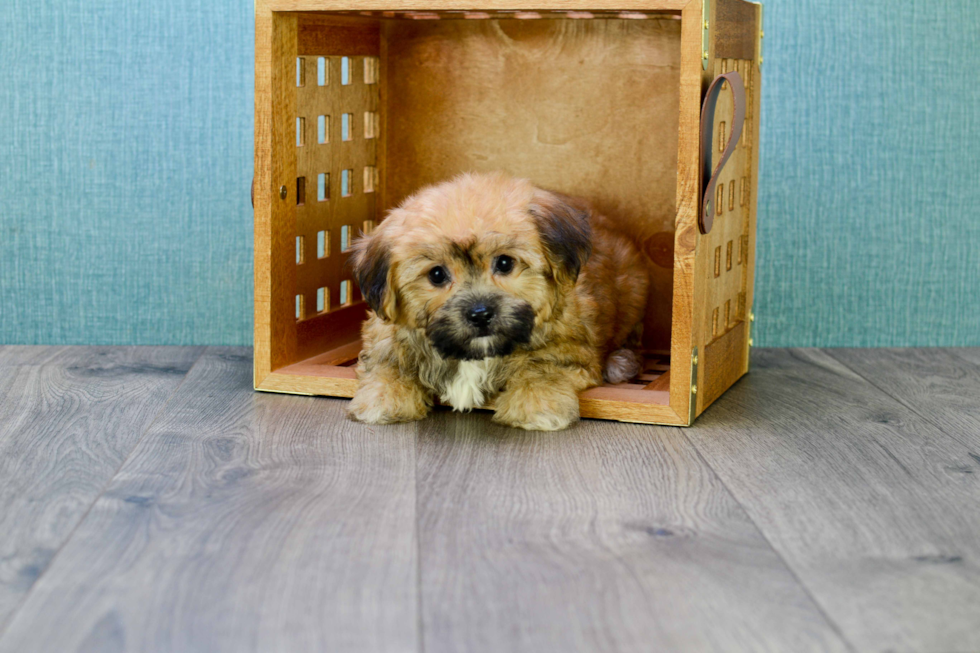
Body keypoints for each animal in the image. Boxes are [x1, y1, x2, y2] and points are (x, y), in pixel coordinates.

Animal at [348, 171, 648, 430]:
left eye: (504, 263)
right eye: (436, 274)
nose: (480, 313)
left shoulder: (569, 348)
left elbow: (543, 366)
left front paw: (536, 404)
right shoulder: (385, 336)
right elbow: (387, 364)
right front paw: (384, 396)